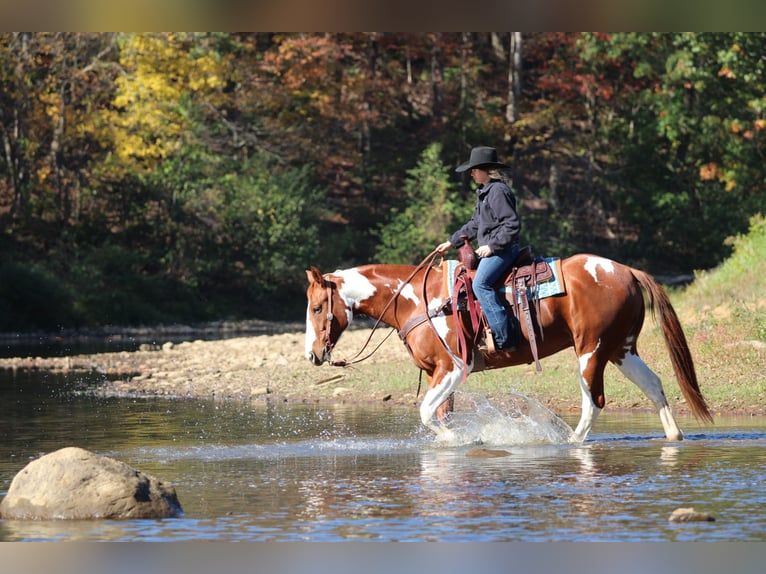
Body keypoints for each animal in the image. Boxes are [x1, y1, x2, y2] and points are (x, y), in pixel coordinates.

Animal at [304, 253, 712, 442]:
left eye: (317, 307)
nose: (313, 354)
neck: (417, 300)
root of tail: (625, 270)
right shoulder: (438, 374)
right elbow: (439, 415)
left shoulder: (453, 369)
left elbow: (426, 414)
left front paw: (461, 439)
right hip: (621, 349)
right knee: (654, 385)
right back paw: (674, 437)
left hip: (591, 351)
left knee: (593, 400)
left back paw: (570, 441)